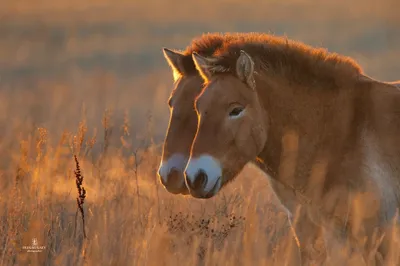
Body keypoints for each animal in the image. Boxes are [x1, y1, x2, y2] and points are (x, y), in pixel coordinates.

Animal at [186, 32, 400, 264]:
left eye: (236, 110)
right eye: (198, 108)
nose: (195, 177)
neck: (341, 132)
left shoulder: (375, 232)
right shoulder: (325, 232)